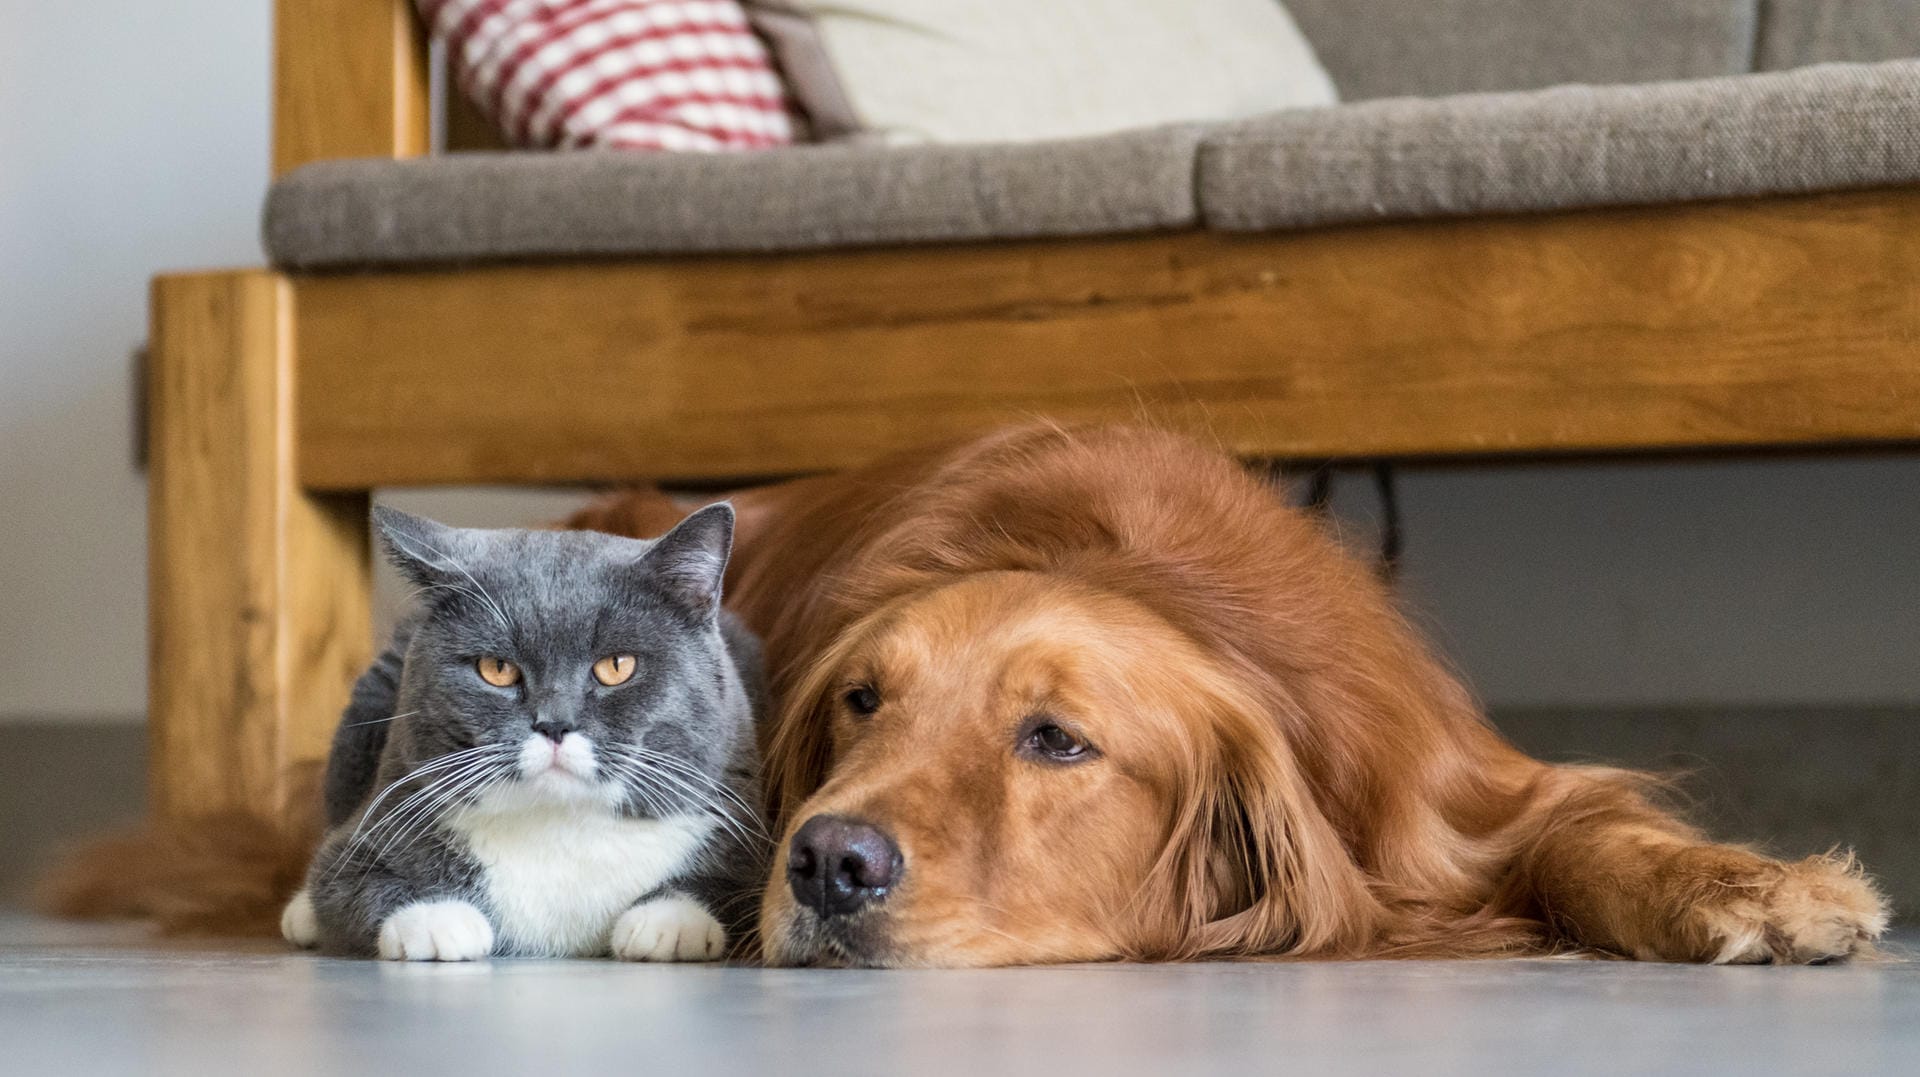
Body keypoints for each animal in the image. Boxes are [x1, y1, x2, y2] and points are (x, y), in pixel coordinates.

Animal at [280, 506, 768, 967]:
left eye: (617, 666)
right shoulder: (383, 811)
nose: (554, 723)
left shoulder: (742, 824)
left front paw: (668, 922)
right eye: (497, 669)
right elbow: (343, 880)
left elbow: (734, 887)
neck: (561, 825)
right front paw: (438, 919)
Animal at [568, 424, 1889, 971]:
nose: (828, 864)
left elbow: (1591, 835)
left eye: (1057, 741)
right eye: (860, 702)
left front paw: (1760, 891)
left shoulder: (1456, 796)